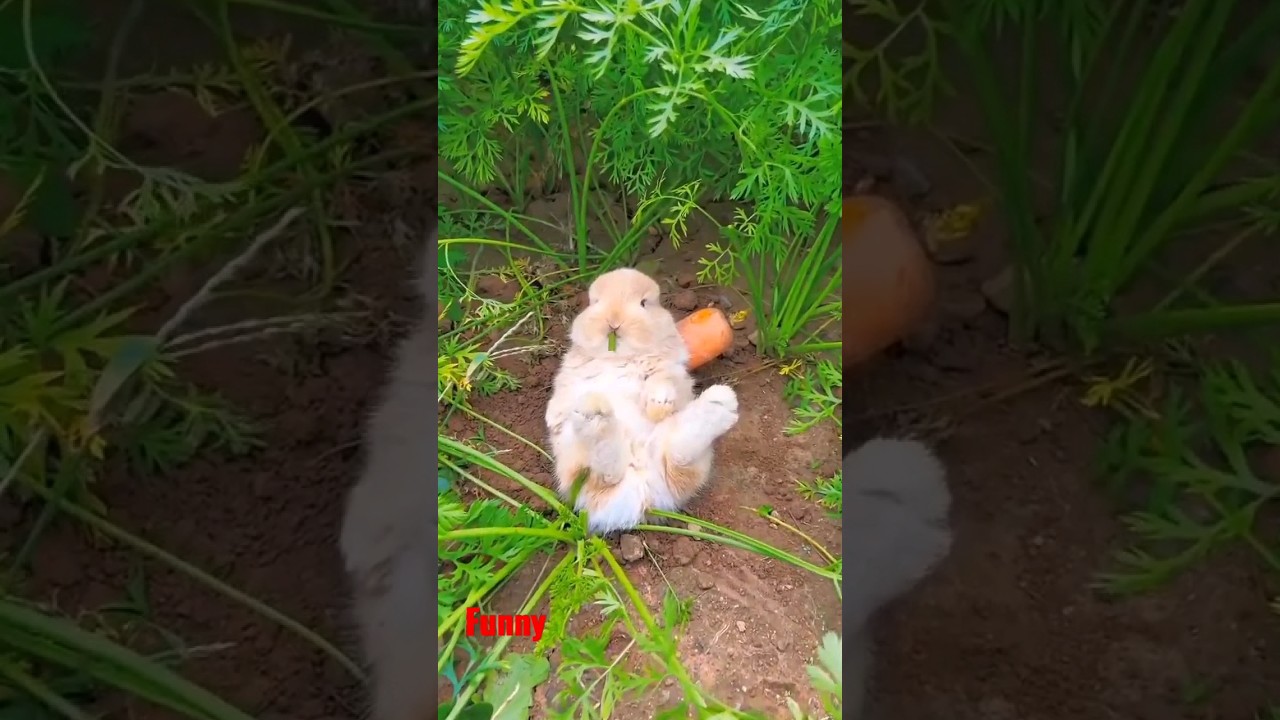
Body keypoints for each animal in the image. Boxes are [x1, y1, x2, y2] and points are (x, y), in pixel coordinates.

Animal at [545, 267, 739, 534]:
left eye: (644, 303)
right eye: (594, 302)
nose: (613, 322)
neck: (619, 358)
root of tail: (642, 496)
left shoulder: (671, 371)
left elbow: (663, 381)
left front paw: (658, 405)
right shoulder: (569, 377)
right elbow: (561, 398)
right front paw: (551, 418)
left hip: (681, 457)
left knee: (676, 455)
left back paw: (720, 403)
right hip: (575, 463)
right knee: (608, 472)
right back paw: (596, 414)